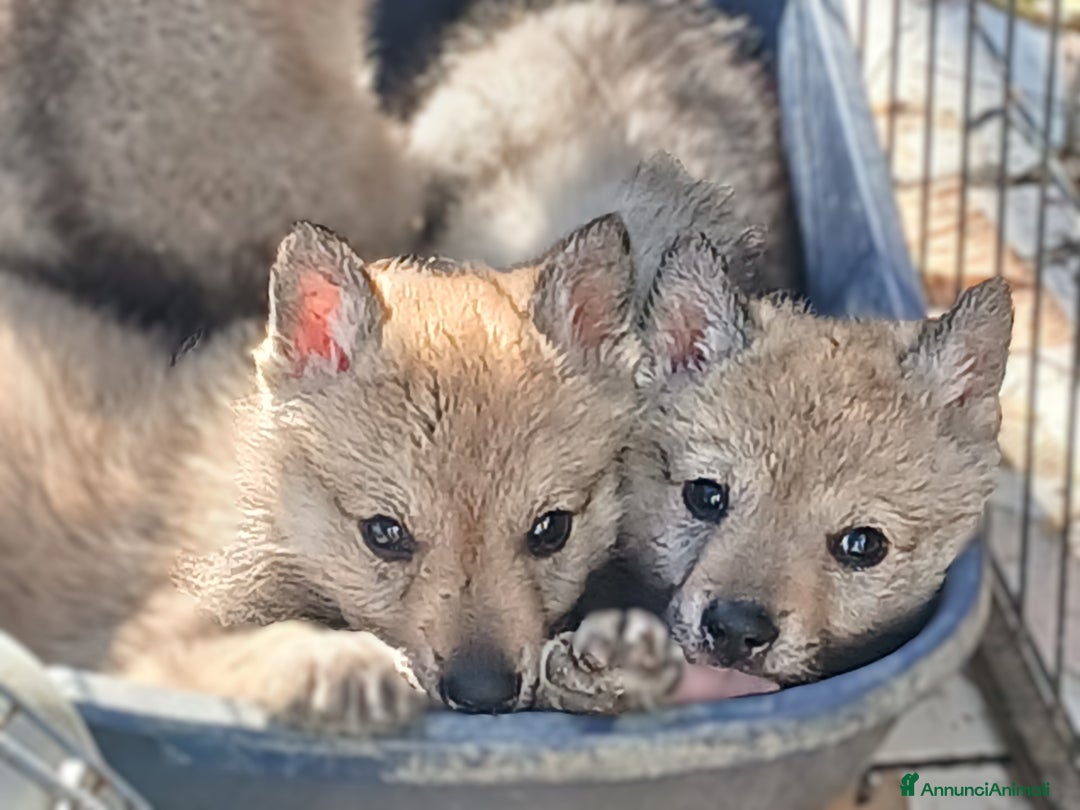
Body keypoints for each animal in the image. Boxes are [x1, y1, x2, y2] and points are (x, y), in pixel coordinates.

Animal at [0, 215, 642, 734]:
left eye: (551, 530)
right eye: (383, 534)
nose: (482, 694)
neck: (275, 502)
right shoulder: (152, 645)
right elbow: (265, 647)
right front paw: (340, 660)